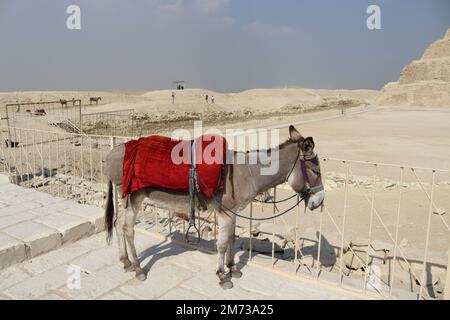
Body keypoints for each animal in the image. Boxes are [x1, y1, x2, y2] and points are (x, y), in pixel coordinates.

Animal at [103, 126, 326, 288]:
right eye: (316, 171)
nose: (320, 201)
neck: (247, 173)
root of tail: (112, 152)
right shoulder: (225, 213)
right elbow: (221, 244)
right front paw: (222, 276)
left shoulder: (233, 213)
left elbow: (231, 240)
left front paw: (233, 268)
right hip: (133, 197)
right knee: (127, 229)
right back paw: (138, 268)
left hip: (125, 198)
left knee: (118, 223)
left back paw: (125, 261)